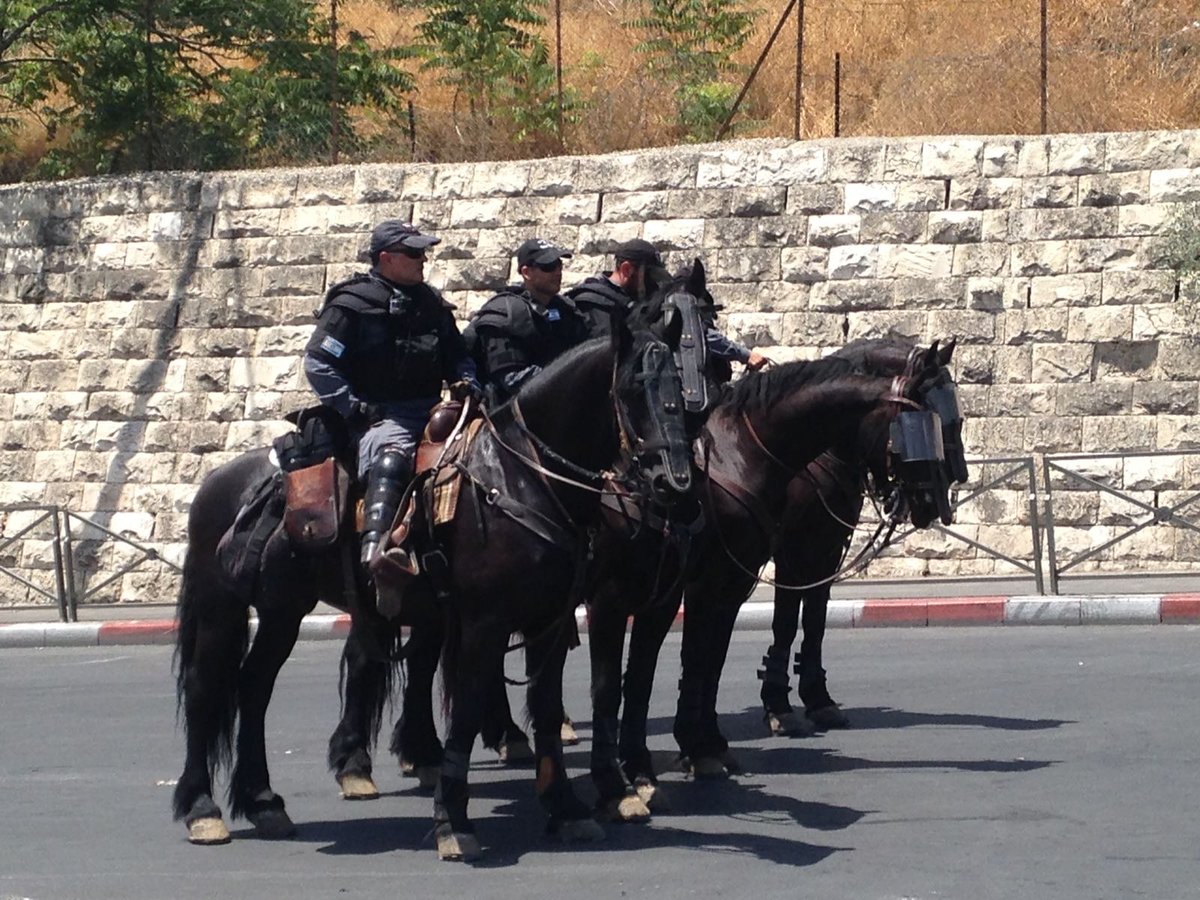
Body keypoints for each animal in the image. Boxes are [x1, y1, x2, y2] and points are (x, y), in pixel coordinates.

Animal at [172, 319, 691, 859]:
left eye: (680, 388)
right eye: (632, 387)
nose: (673, 483)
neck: (521, 479)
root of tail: (215, 480)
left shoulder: (547, 622)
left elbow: (547, 711)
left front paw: (566, 809)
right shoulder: (485, 623)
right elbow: (467, 710)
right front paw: (453, 821)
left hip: (282, 611)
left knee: (254, 687)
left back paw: (263, 801)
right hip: (220, 607)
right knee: (206, 688)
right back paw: (203, 809)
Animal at [763, 338, 969, 739]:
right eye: (926, 418)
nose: (957, 478)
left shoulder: (827, 548)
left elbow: (815, 620)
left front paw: (818, 698)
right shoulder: (792, 552)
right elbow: (785, 622)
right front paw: (778, 704)